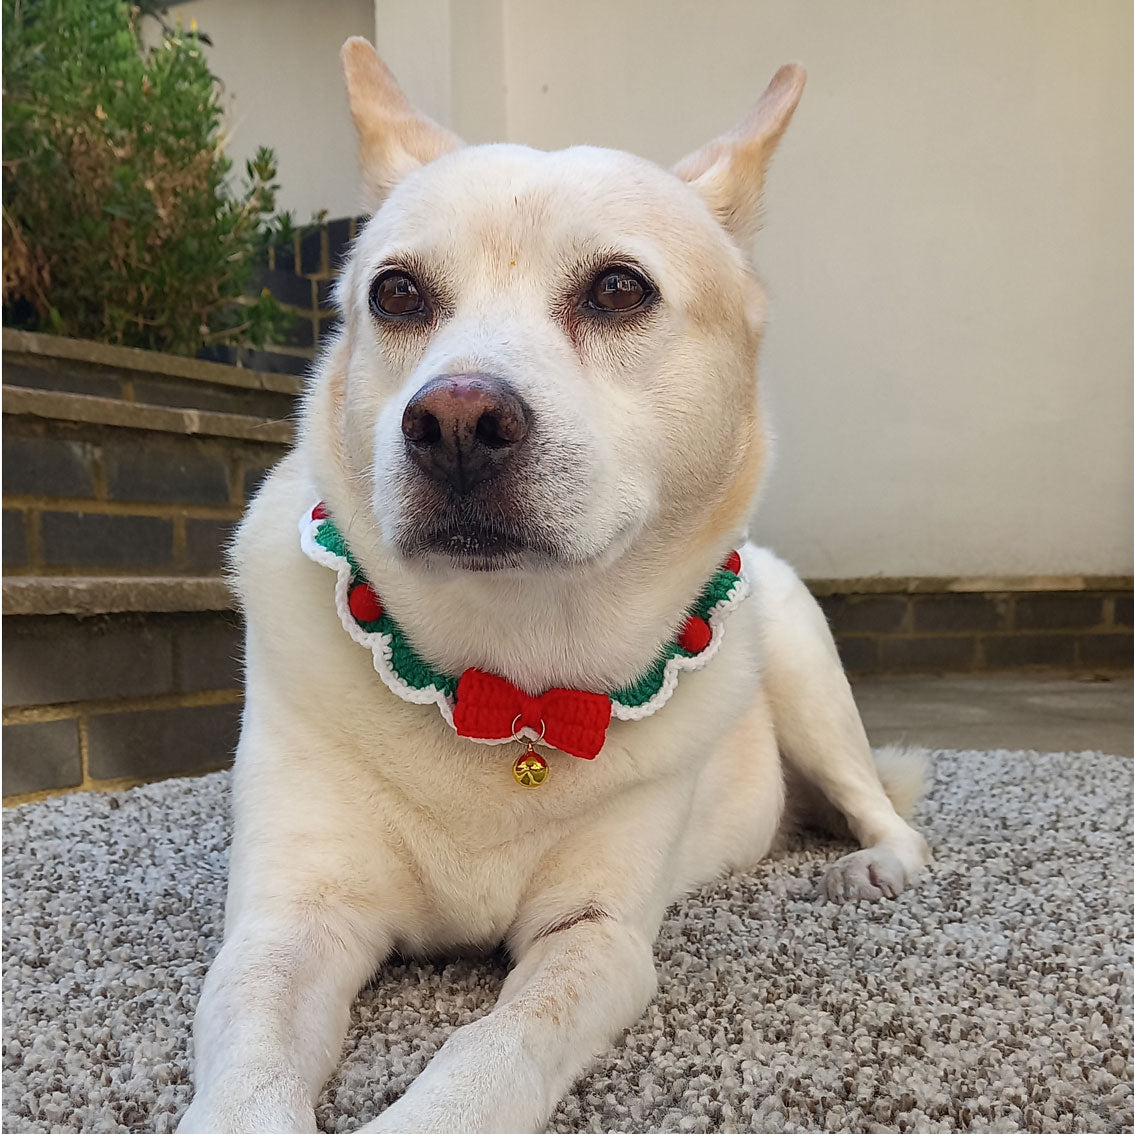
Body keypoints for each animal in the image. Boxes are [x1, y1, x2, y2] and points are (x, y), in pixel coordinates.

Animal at [179, 39, 929, 1134]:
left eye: (618, 290)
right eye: (396, 294)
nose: (453, 420)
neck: (506, 676)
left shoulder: (598, 936)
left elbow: (495, 1048)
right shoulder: (287, 925)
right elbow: (251, 1069)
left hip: (802, 671)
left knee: (880, 801)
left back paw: (879, 863)